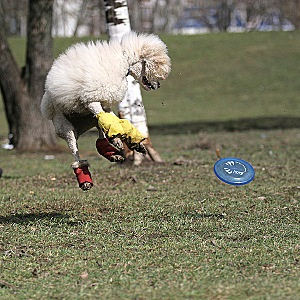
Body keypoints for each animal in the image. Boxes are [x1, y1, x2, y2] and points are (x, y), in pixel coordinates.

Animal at [41, 30, 171, 190]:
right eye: (153, 65)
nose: (158, 85)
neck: (122, 61)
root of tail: (46, 106)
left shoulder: (104, 103)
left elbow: (113, 121)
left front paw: (132, 141)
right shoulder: (91, 100)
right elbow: (109, 120)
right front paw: (122, 139)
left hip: (88, 118)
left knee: (101, 131)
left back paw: (113, 151)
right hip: (64, 126)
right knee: (74, 146)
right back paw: (85, 177)